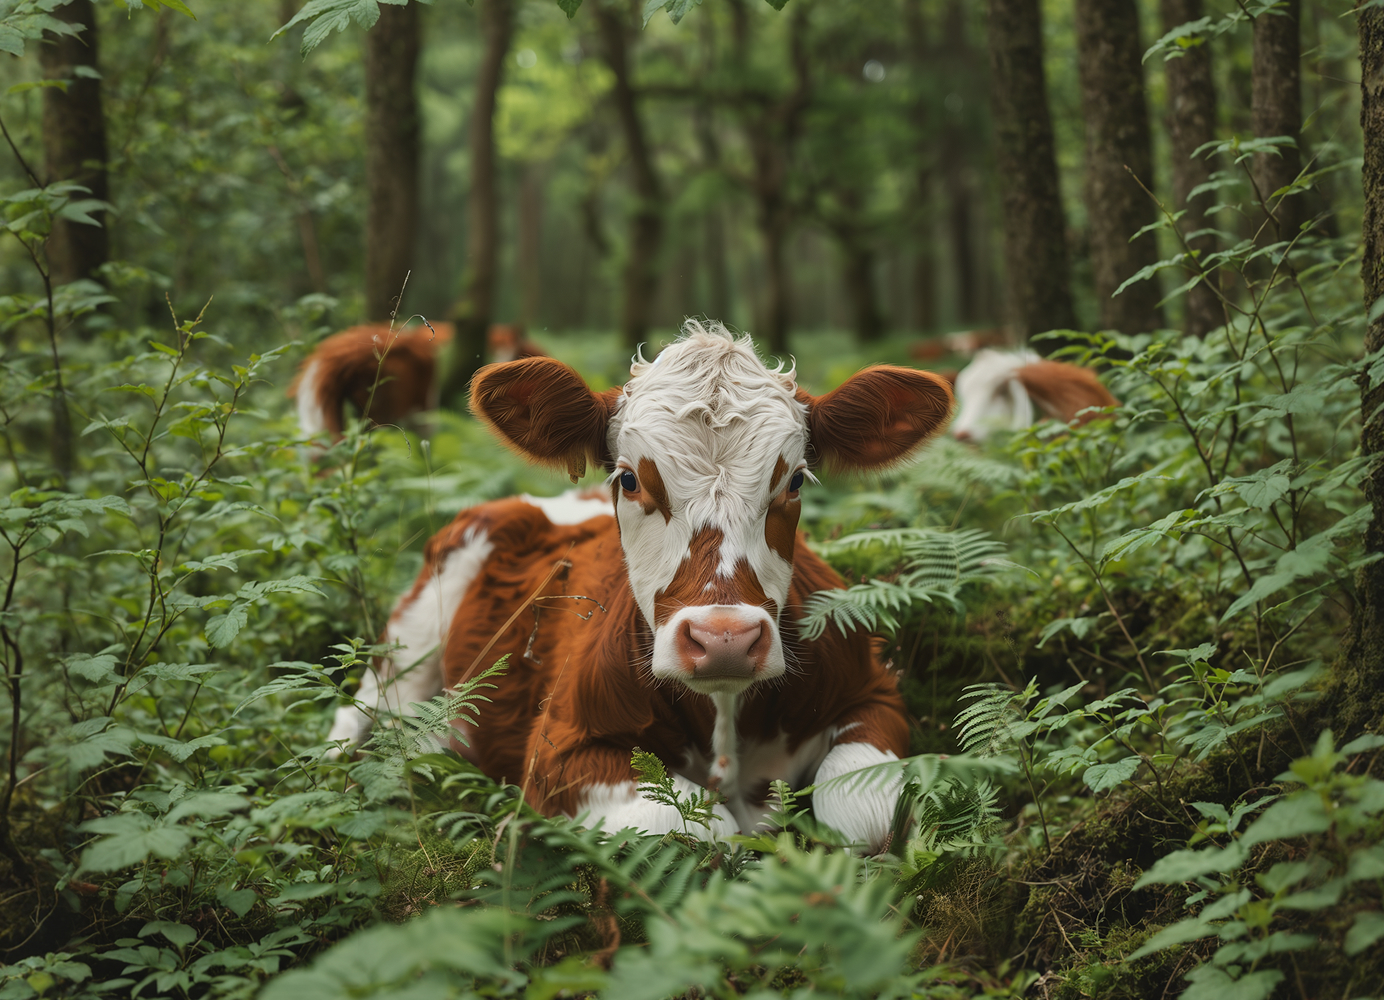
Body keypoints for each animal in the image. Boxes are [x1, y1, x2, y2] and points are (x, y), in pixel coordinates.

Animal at [327, 322, 954, 851]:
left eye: (794, 481)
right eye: (629, 479)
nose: (724, 639)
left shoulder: (875, 694)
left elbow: (855, 811)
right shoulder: (558, 752)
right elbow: (706, 826)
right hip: (410, 635)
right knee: (367, 720)